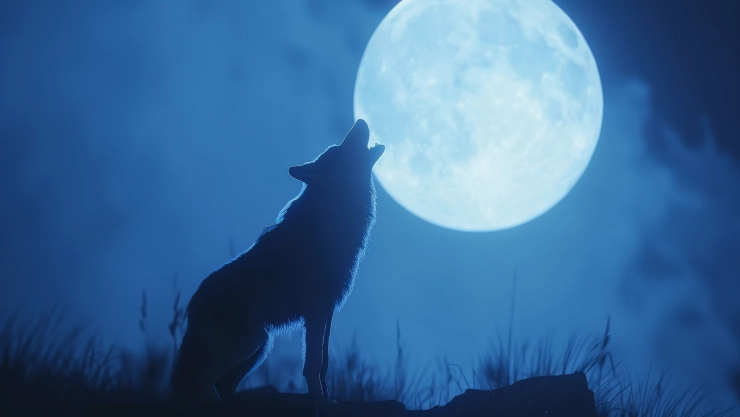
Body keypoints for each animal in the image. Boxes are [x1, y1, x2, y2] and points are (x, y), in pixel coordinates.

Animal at [170, 119, 385, 406]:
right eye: (340, 148)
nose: (360, 121)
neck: (330, 219)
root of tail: (195, 304)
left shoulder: (327, 309)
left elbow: (324, 363)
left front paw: (328, 400)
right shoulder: (316, 310)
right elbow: (313, 364)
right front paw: (317, 401)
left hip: (257, 348)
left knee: (219, 384)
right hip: (249, 343)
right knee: (202, 381)